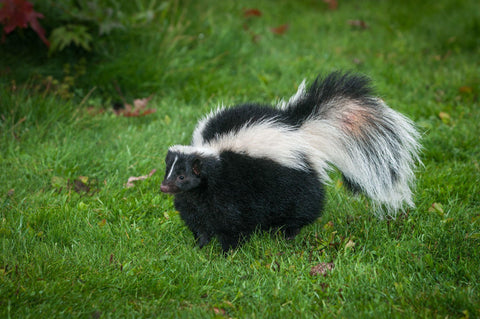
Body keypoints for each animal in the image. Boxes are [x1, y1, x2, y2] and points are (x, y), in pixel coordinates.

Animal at [159, 72, 418, 252]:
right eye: (167, 172)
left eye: (182, 176)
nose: (164, 187)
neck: (212, 154)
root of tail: (301, 129)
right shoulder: (195, 201)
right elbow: (198, 222)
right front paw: (200, 247)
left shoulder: (230, 190)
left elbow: (231, 222)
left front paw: (226, 252)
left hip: (293, 181)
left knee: (302, 208)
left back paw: (286, 235)